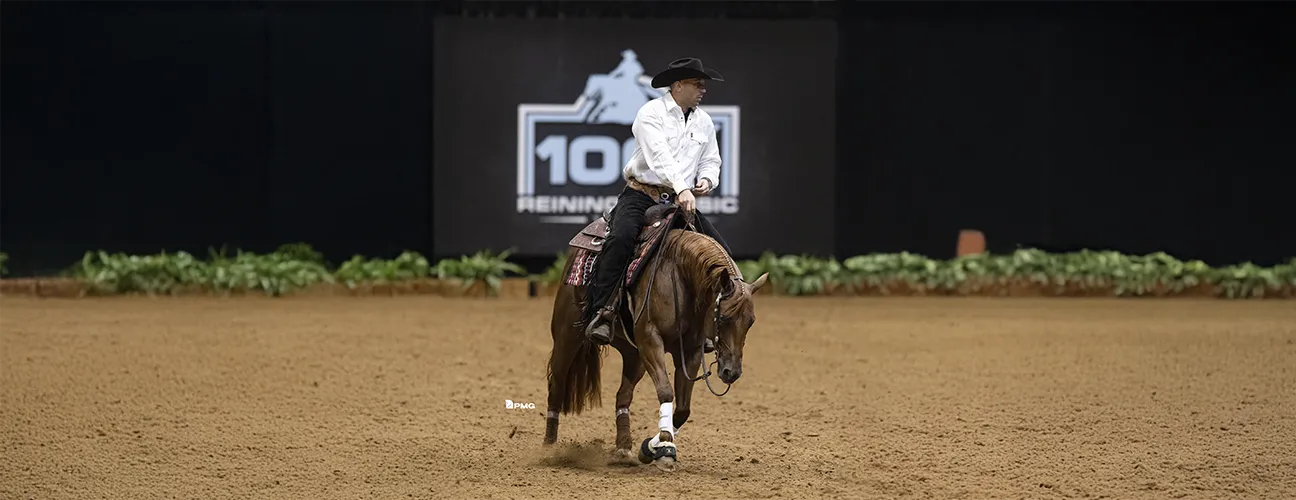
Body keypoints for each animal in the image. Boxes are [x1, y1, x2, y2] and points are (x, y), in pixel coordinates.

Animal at [542, 203, 769, 471]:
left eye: (750, 322)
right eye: (723, 317)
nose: (731, 372)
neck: (680, 276)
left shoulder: (690, 351)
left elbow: (683, 409)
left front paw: (652, 447)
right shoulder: (651, 340)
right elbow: (666, 391)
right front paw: (664, 448)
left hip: (634, 355)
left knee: (623, 396)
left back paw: (623, 449)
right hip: (567, 337)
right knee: (556, 386)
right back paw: (549, 449)